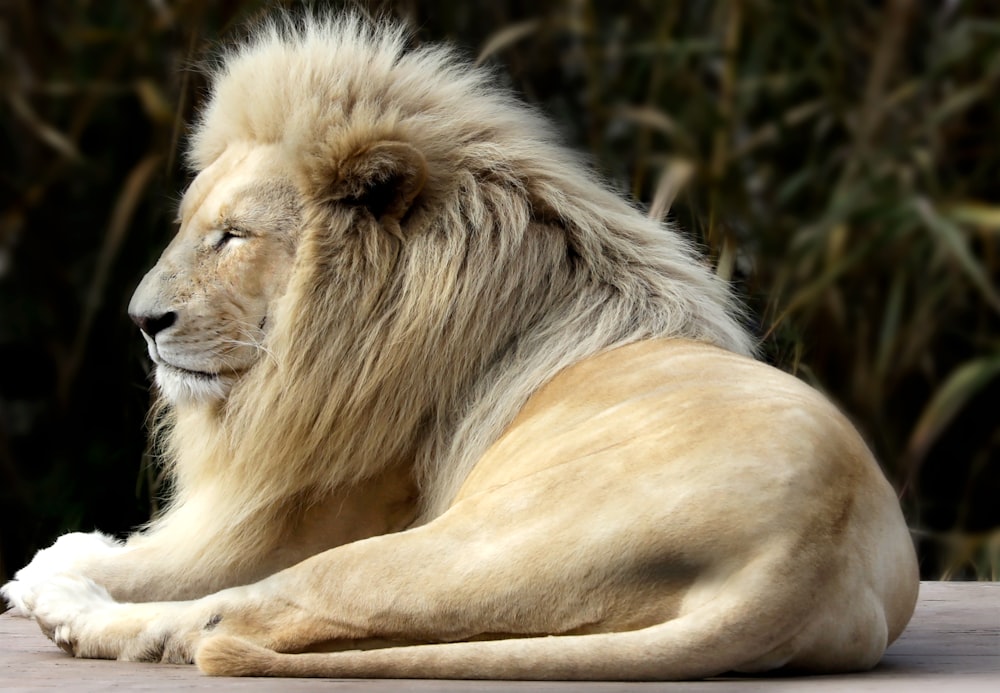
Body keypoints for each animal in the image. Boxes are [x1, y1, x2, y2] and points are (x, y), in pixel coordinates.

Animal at [0, 13, 916, 680]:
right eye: (192, 227)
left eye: (233, 236)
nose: (139, 319)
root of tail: (800, 568)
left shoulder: (298, 514)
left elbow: (174, 563)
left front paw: (61, 563)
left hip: (442, 547)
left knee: (228, 616)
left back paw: (71, 606)